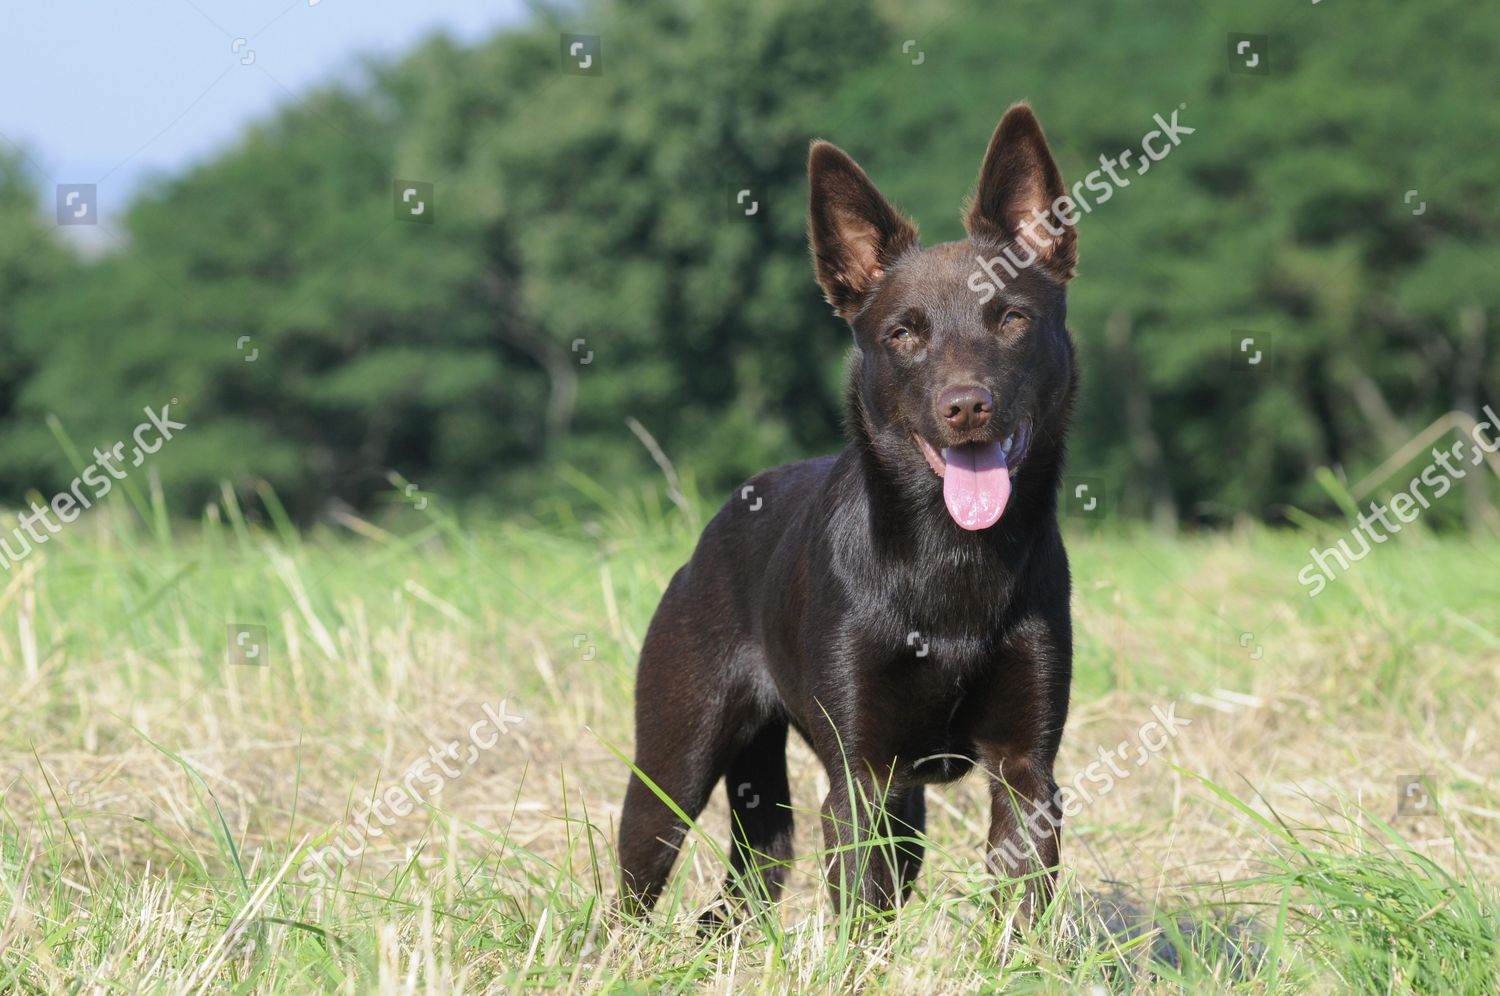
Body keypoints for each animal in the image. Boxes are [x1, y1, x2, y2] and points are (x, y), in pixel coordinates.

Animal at [621, 102, 1080, 924]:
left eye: (1011, 318)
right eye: (903, 333)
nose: (965, 407)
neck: (949, 556)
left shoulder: (1026, 769)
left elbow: (1022, 905)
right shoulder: (862, 773)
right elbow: (857, 914)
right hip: (674, 762)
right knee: (639, 879)